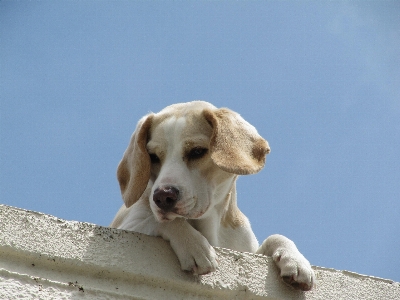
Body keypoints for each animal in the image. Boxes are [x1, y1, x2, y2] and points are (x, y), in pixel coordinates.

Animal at [110, 101, 316, 290]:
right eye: (152, 156)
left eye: (197, 151)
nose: (162, 196)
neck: (211, 225)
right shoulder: (127, 225)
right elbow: (161, 221)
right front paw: (195, 246)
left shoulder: (246, 248)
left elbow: (276, 236)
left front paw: (296, 260)